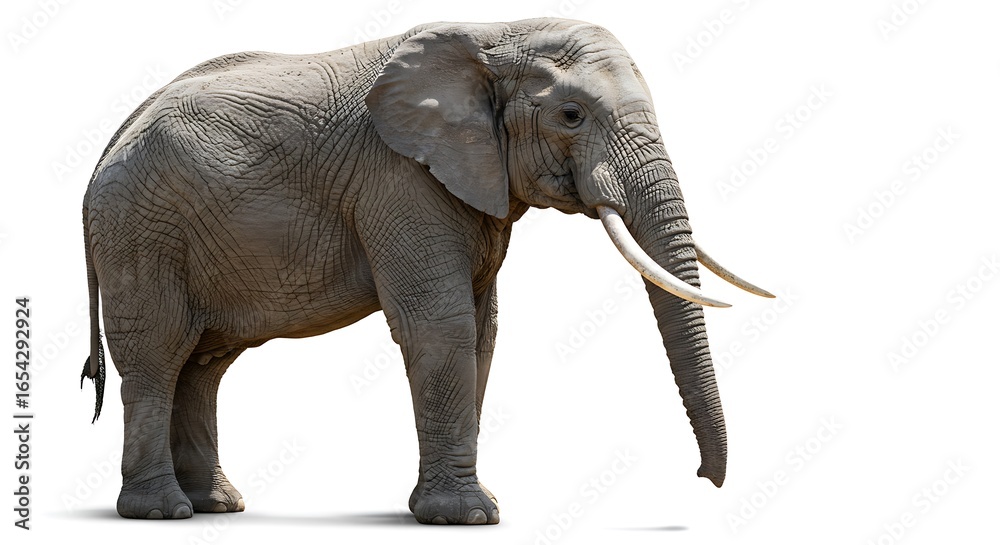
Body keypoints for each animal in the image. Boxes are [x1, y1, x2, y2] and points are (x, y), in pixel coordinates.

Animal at [79, 17, 772, 524]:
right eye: (571, 115)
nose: (703, 480)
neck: (496, 34)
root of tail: (109, 144)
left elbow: (482, 333)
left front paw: (462, 509)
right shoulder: (398, 180)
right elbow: (441, 327)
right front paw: (467, 518)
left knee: (204, 363)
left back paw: (216, 506)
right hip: (140, 231)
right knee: (159, 354)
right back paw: (161, 513)